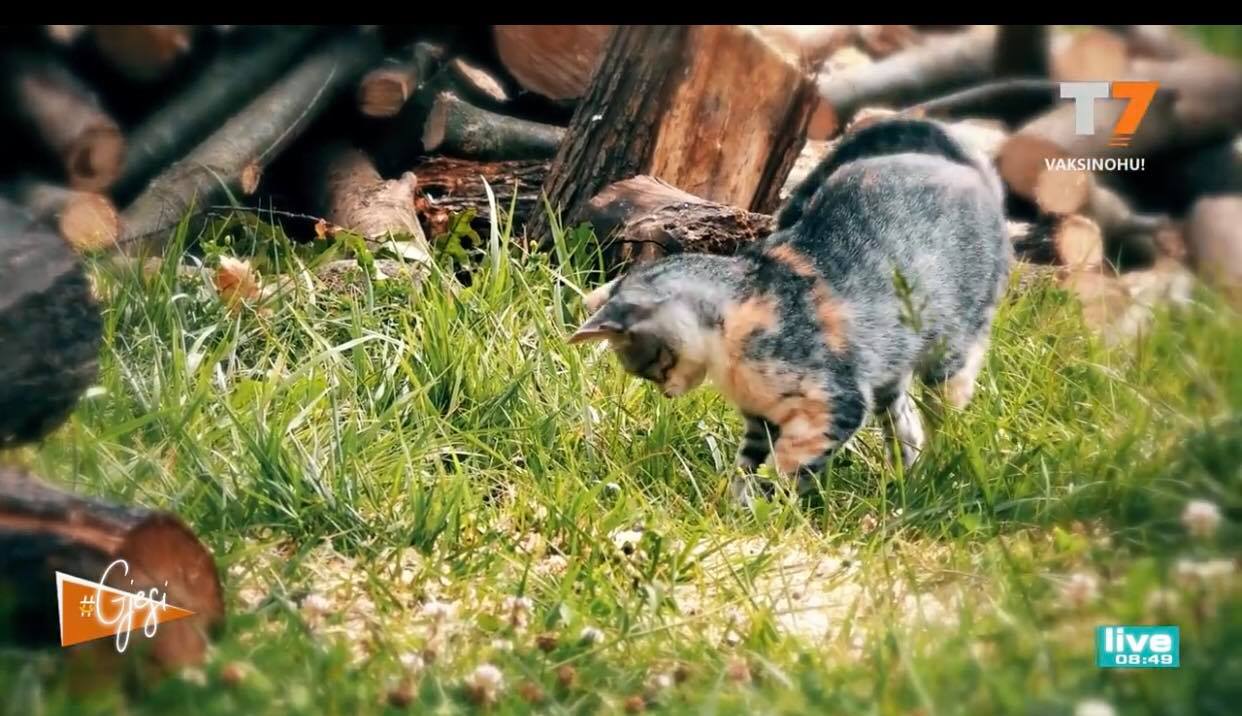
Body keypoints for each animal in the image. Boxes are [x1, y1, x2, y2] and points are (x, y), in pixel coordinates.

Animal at [568, 117, 1011, 504]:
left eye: (653, 365)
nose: (667, 393)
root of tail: (970, 167)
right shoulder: (760, 418)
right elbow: (747, 462)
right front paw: (734, 502)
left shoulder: (837, 404)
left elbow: (791, 462)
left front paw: (771, 506)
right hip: (890, 361)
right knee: (904, 421)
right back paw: (904, 478)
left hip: (951, 351)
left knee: (943, 408)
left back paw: (935, 472)